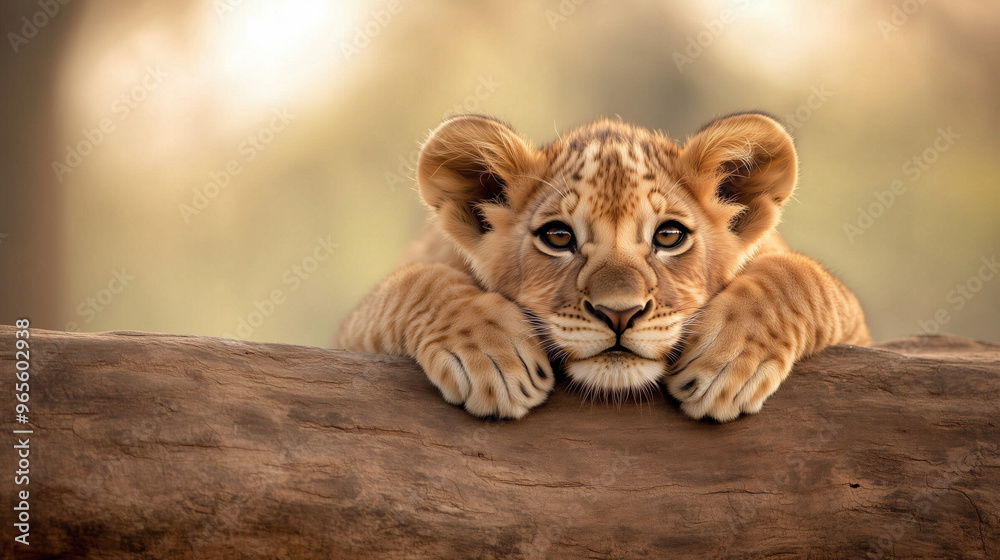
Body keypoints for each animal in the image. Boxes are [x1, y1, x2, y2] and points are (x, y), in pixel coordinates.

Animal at [336, 112, 870, 422]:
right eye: (558, 237)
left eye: (669, 236)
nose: (619, 313)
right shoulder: (349, 337)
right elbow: (415, 282)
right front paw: (493, 358)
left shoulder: (860, 335)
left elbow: (799, 276)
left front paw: (727, 361)